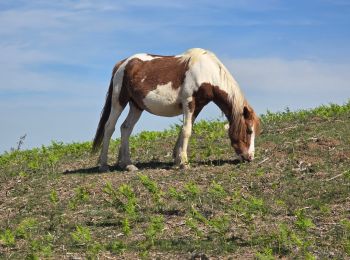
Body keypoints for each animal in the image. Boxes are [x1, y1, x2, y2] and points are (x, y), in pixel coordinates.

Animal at [92, 47, 260, 172]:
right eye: (248, 131)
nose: (250, 157)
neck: (205, 72)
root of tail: (123, 63)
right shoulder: (189, 103)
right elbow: (187, 131)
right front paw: (184, 163)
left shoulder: (197, 106)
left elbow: (184, 130)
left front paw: (177, 159)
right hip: (119, 101)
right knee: (109, 127)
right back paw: (104, 165)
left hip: (136, 106)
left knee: (126, 128)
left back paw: (127, 164)